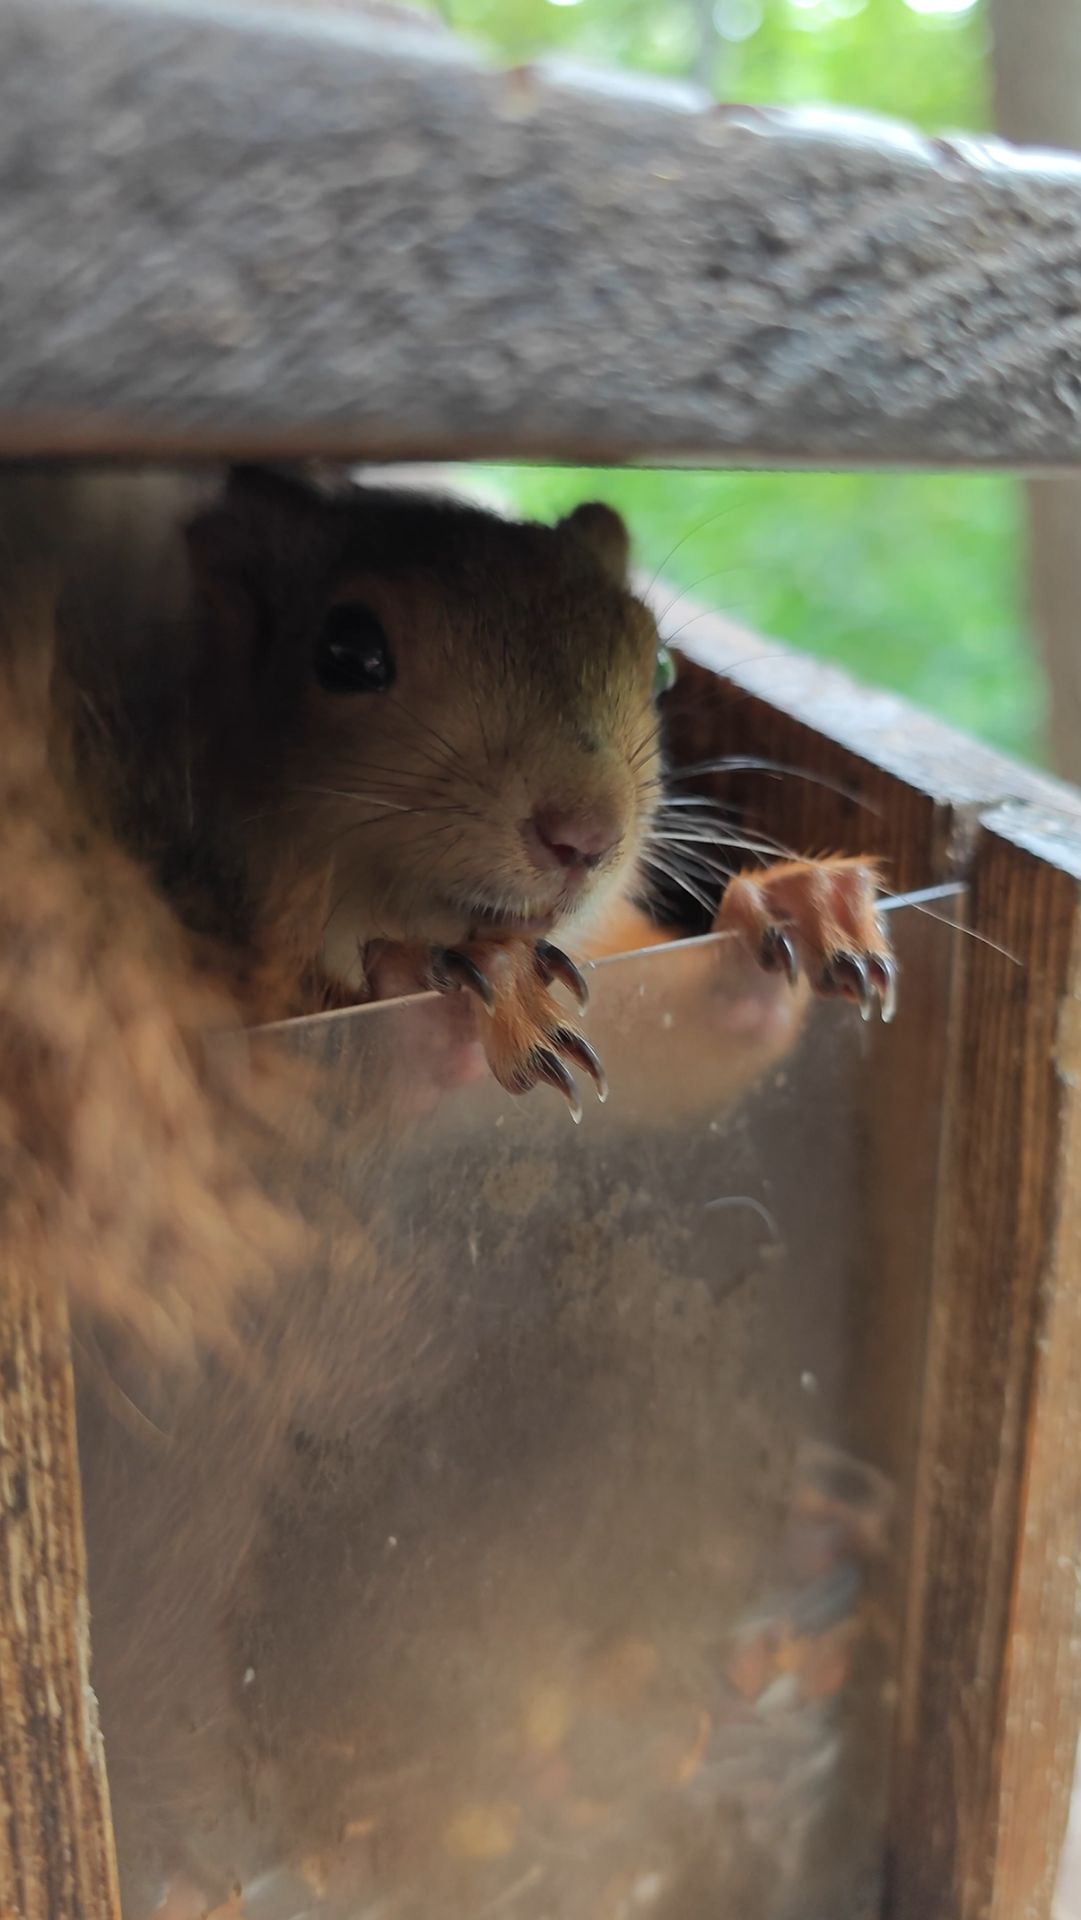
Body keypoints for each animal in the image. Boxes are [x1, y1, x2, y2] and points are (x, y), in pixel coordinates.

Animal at [0, 464, 896, 1917]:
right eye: (348, 653)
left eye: (653, 659)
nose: (581, 832)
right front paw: (418, 989)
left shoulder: (624, 995)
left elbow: (702, 1048)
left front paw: (802, 913)